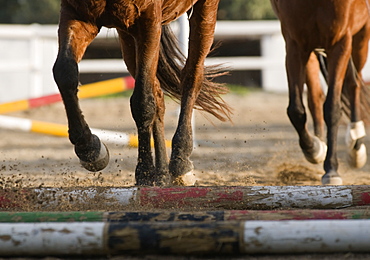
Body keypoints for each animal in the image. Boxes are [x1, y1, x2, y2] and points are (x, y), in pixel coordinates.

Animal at [52, 1, 231, 186]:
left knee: (192, 77)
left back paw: (181, 162)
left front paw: (145, 172)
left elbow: (142, 102)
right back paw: (162, 173)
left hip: (205, 11)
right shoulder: (77, 15)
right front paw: (90, 149)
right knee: (158, 96)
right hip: (127, 36)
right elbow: (64, 72)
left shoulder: (148, 21)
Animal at [272, 0, 370, 185]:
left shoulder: (340, 43)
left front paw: (331, 170)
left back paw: (356, 145)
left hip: (361, 36)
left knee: (354, 84)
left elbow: (332, 108)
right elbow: (296, 110)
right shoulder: (295, 45)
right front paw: (314, 149)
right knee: (315, 97)